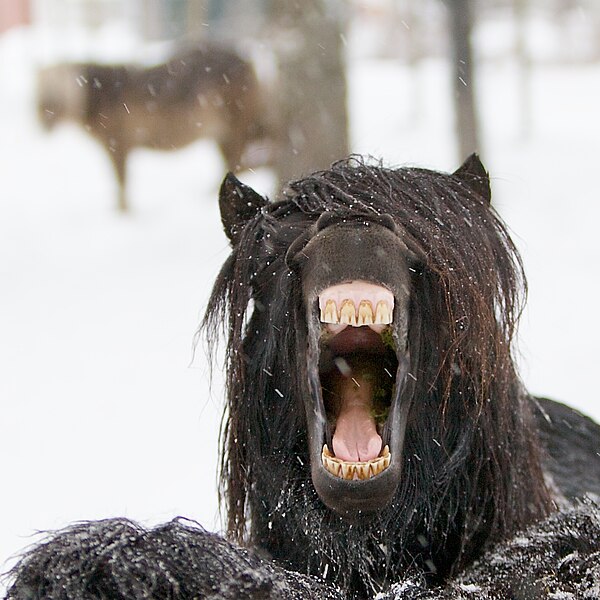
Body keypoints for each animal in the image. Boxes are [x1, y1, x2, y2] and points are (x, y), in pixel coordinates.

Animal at [38, 44, 270, 211]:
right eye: (41, 90)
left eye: (60, 89)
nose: (44, 117)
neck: (103, 96)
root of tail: (249, 61)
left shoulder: (119, 144)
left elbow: (122, 181)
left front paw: (124, 211)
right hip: (222, 135)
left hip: (236, 128)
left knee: (235, 161)